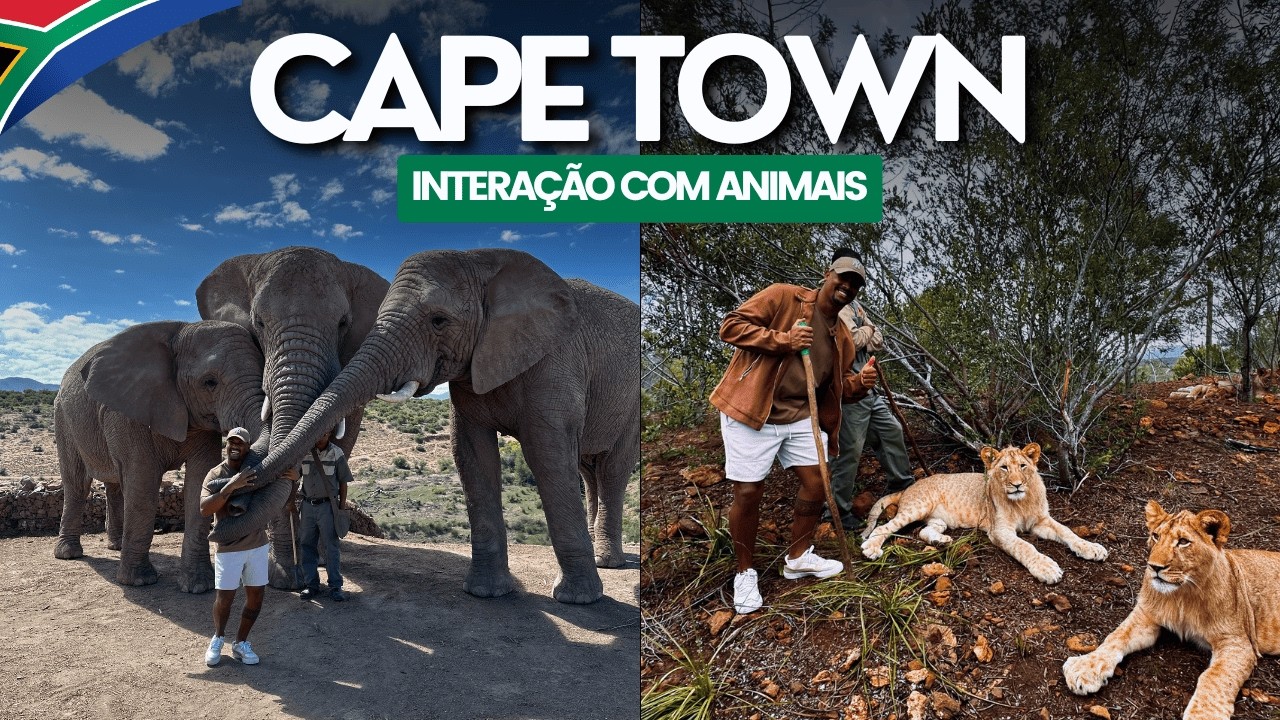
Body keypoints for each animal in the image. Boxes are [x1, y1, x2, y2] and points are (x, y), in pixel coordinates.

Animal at [53, 320, 268, 592]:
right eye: (210, 382)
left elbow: (200, 480)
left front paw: (199, 587)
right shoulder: (127, 413)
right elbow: (143, 481)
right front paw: (139, 582)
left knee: (114, 483)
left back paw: (116, 546)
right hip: (63, 418)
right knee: (77, 483)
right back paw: (68, 554)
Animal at [245, 248, 640, 604]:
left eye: (438, 320)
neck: (482, 262)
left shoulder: (555, 362)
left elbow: (548, 455)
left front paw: (578, 600)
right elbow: (472, 454)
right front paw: (486, 593)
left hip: (634, 402)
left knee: (611, 469)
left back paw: (607, 562)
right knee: (589, 471)